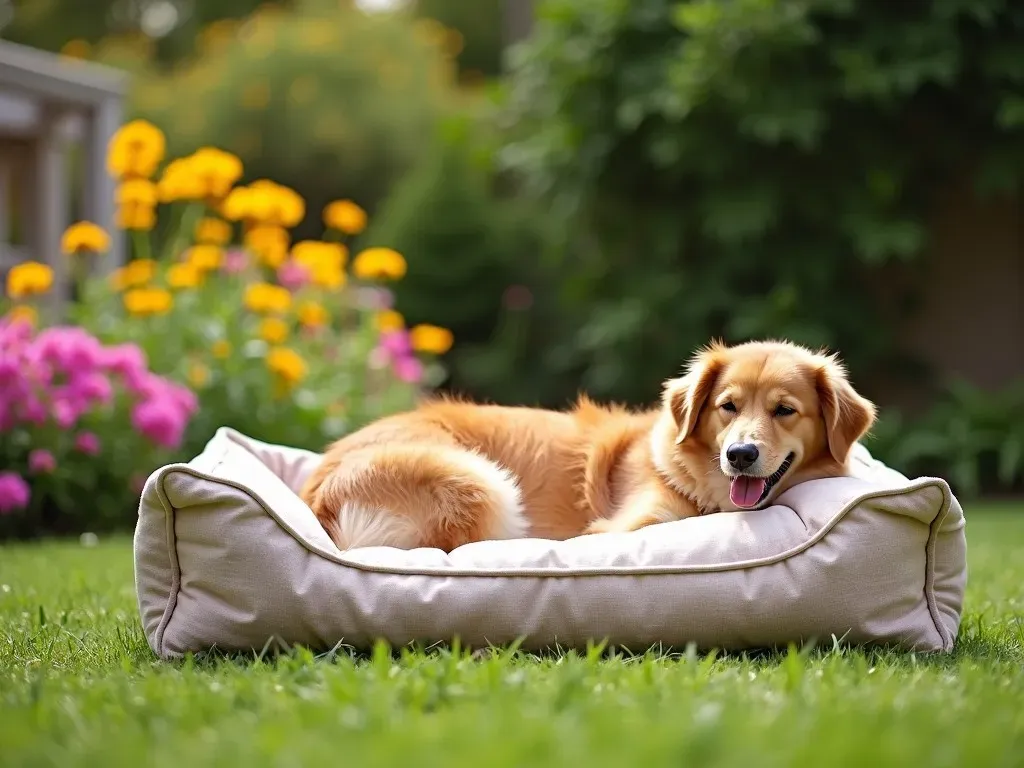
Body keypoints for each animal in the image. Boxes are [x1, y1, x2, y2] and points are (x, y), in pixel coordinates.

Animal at [299, 339, 880, 548]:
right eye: (727, 406)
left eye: (785, 410)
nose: (739, 456)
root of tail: (318, 495)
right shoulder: (624, 525)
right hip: (479, 481)